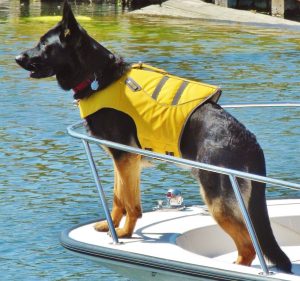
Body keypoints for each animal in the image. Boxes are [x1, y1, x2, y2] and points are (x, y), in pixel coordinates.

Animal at [15, 0, 292, 272]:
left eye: (44, 44)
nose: (17, 58)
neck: (98, 77)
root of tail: (249, 141)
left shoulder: (124, 158)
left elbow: (129, 203)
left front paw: (123, 234)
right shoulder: (125, 161)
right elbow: (119, 198)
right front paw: (112, 226)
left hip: (217, 200)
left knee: (248, 246)